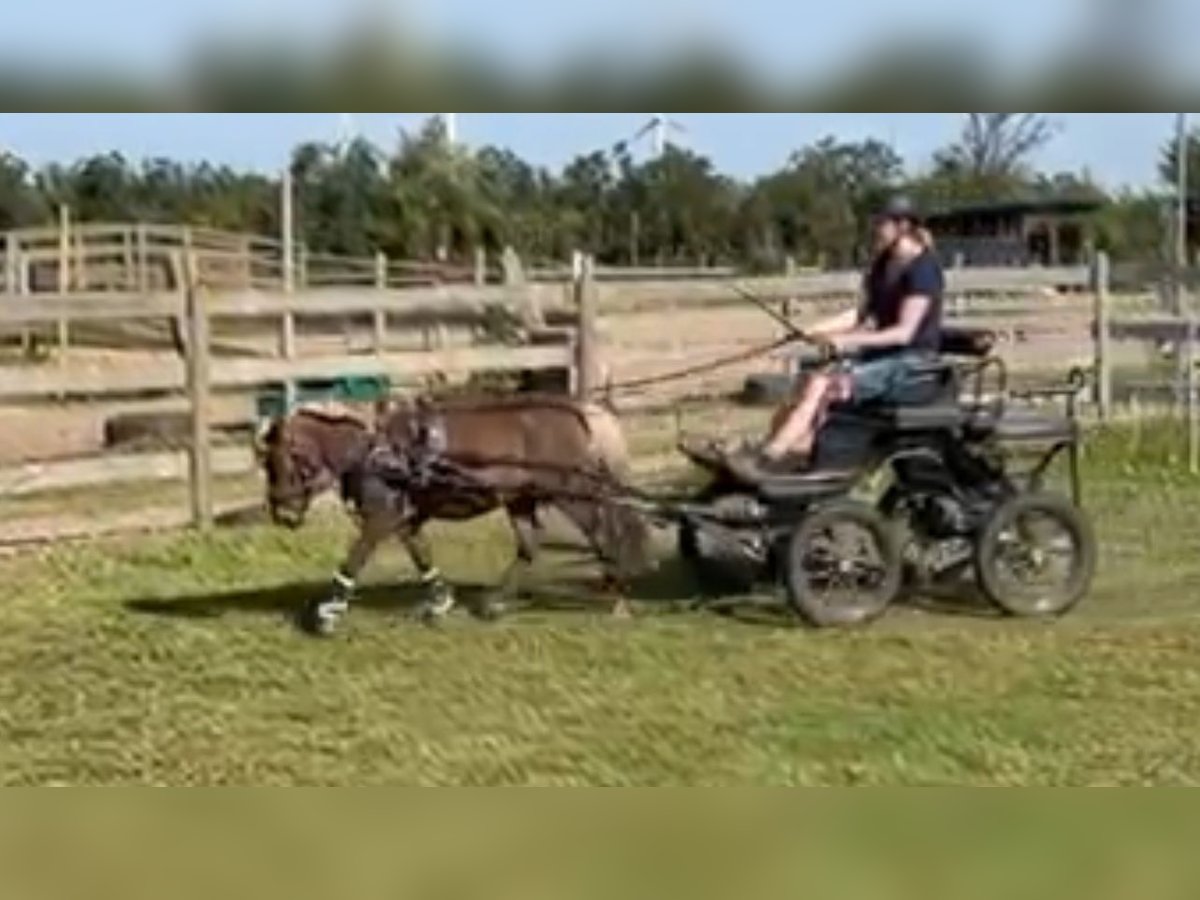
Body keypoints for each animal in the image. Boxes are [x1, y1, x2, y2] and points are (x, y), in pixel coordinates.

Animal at [253, 393, 648, 633]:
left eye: (283, 460)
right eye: (266, 464)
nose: (283, 513)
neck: (374, 449)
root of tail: (579, 413)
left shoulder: (381, 518)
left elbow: (354, 560)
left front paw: (327, 615)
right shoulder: (405, 519)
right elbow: (422, 558)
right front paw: (439, 603)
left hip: (571, 494)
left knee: (601, 535)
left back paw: (618, 599)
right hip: (519, 499)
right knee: (529, 545)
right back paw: (493, 603)